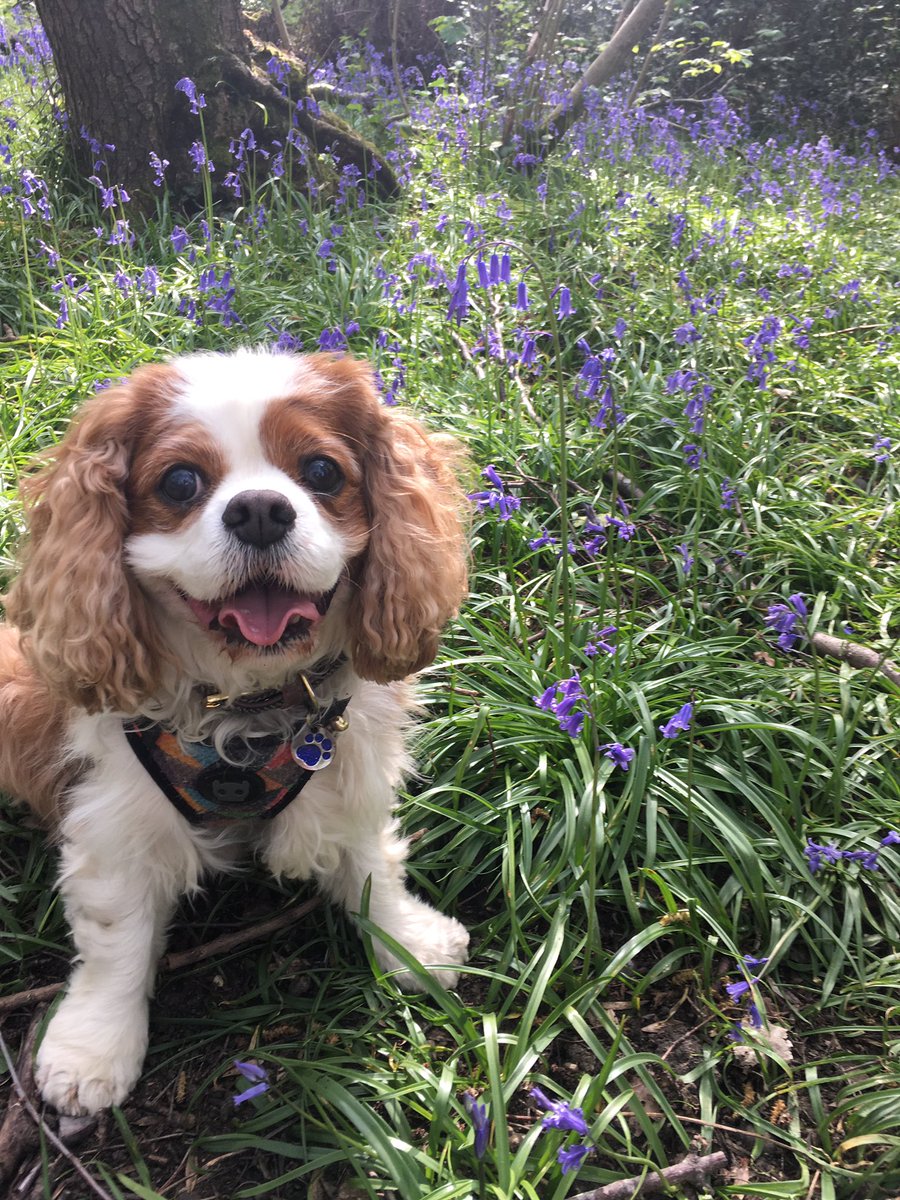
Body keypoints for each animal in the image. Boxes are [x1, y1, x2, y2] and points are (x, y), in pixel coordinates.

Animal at [0, 350, 475, 1113]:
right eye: (180, 481)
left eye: (322, 472)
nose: (259, 510)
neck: (247, 703)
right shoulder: (115, 814)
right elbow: (116, 938)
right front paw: (93, 1047)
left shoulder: (349, 767)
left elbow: (370, 865)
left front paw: (408, 943)